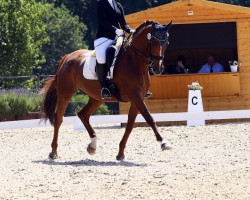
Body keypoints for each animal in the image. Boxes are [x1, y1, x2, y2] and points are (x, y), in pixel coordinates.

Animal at [42, 19, 173, 161]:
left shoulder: (137, 99)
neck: (134, 61)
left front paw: (120, 153)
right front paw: (164, 143)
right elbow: (149, 118)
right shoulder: (136, 97)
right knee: (59, 119)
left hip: (97, 98)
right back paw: (53, 152)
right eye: (153, 43)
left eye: (166, 44)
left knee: (83, 115)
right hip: (65, 93)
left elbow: (130, 125)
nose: (158, 69)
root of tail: (67, 57)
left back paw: (92, 146)